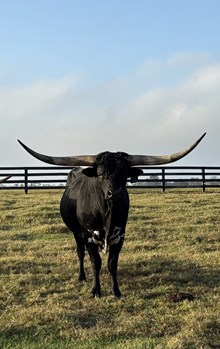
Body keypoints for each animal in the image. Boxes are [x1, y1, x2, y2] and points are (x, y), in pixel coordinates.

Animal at [18, 133, 205, 296]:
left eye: (124, 174)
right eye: (100, 174)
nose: (114, 193)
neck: (107, 212)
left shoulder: (120, 235)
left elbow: (112, 263)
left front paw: (115, 290)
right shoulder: (88, 236)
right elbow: (96, 263)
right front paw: (95, 290)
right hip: (76, 233)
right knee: (80, 253)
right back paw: (81, 276)